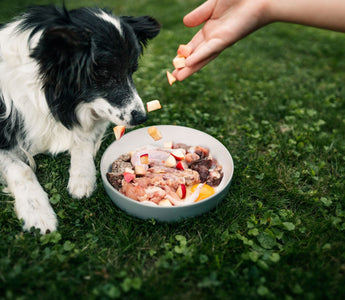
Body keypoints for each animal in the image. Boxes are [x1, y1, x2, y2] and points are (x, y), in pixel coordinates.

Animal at [0, 5, 161, 233]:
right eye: (105, 75)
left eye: (132, 71)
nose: (142, 117)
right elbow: (21, 169)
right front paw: (37, 212)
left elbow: (82, 138)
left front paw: (82, 177)